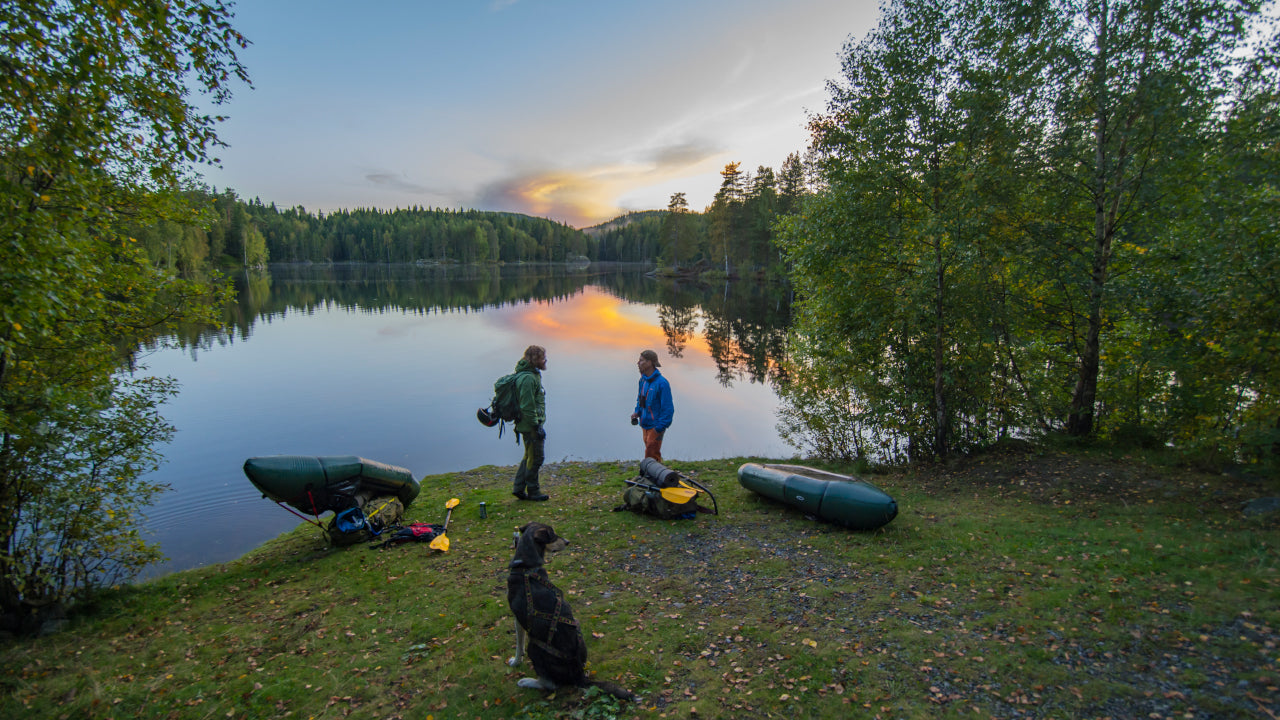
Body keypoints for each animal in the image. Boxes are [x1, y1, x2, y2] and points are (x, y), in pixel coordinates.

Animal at [504, 520, 634, 696]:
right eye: (553, 535)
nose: (567, 541)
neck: (526, 566)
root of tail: (580, 675)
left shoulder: (518, 618)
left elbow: (519, 645)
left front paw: (515, 662)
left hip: (535, 645)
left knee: (550, 684)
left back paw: (527, 681)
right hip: (577, 628)